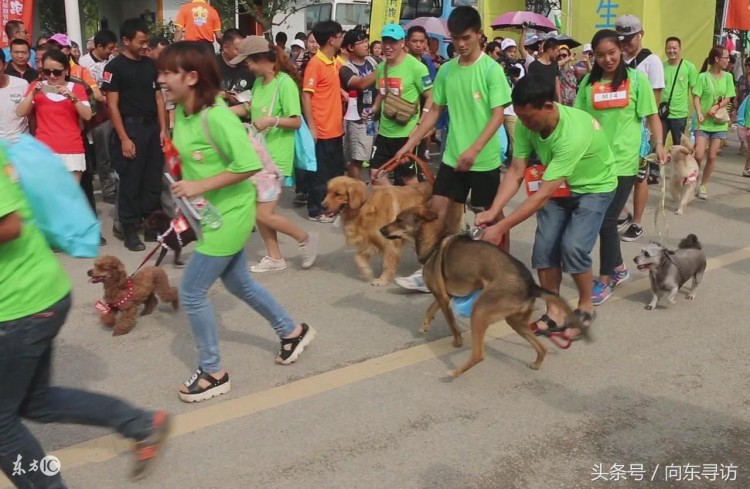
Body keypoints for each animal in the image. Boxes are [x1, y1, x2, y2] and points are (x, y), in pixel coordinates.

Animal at [382, 206, 588, 378]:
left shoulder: (442, 296)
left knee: (479, 355)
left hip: (480, 311)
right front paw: (425, 325)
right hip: (515, 321)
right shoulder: (445, 295)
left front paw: (457, 342)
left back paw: (455, 373)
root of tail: (530, 284)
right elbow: (430, 308)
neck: (435, 242)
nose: (381, 230)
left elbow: (451, 324)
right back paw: (537, 364)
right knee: (542, 347)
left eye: (399, 220)